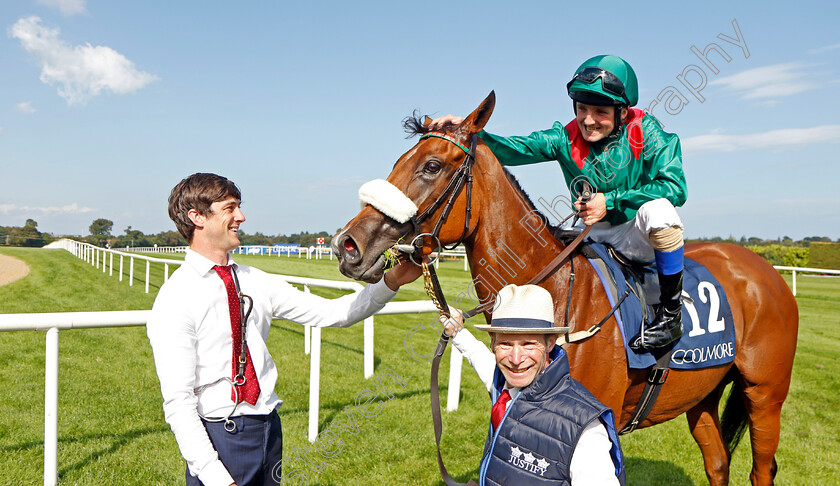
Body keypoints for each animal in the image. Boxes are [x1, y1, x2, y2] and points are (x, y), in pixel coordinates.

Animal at [332, 92, 796, 486]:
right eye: (399, 161)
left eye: (431, 166)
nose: (347, 244)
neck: (553, 297)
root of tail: (765, 270)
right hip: (701, 395)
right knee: (718, 463)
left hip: (765, 395)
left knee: (762, 469)